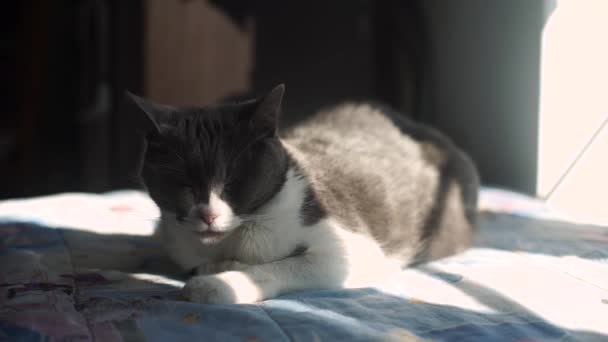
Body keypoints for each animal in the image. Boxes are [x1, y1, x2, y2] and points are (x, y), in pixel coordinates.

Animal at [128, 84, 480, 304]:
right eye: (182, 183)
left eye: (233, 181)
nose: (208, 214)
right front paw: (215, 268)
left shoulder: (353, 251)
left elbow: (280, 266)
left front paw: (215, 284)